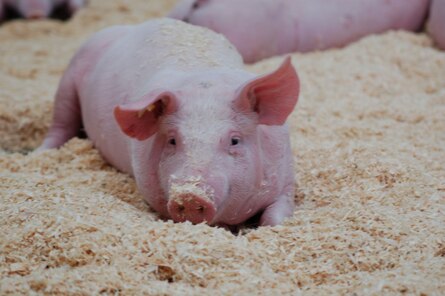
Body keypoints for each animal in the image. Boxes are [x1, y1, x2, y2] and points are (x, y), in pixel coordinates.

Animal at [40, 18, 300, 227]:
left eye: (234, 140)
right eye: (173, 140)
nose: (190, 196)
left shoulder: (286, 179)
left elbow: (275, 217)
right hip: (68, 79)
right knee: (60, 123)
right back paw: (39, 153)